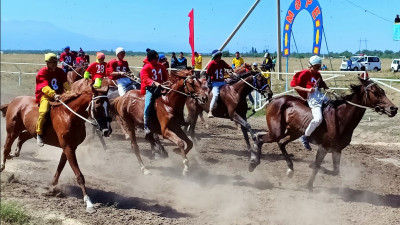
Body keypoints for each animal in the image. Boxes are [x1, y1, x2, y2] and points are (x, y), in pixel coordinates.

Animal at [0, 79, 112, 213]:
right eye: (98, 105)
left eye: (109, 106)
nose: (107, 130)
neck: (69, 116)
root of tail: (15, 100)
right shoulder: (68, 148)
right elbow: (79, 175)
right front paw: (89, 203)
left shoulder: (69, 147)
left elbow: (60, 167)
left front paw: (52, 187)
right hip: (12, 131)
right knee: (6, 147)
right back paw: (2, 166)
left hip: (31, 130)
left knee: (22, 137)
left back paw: (14, 153)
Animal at [253, 78, 396, 192]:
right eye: (375, 92)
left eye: (383, 91)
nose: (394, 109)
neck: (340, 117)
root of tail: (274, 99)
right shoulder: (324, 147)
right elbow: (316, 166)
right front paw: (310, 182)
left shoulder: (337, 150)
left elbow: (335, 171)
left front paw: (311, 182)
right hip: (276, 132)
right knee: (259, 138)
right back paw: (253, 163)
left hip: (294, 132)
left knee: (281, 143)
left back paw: (290, 169)